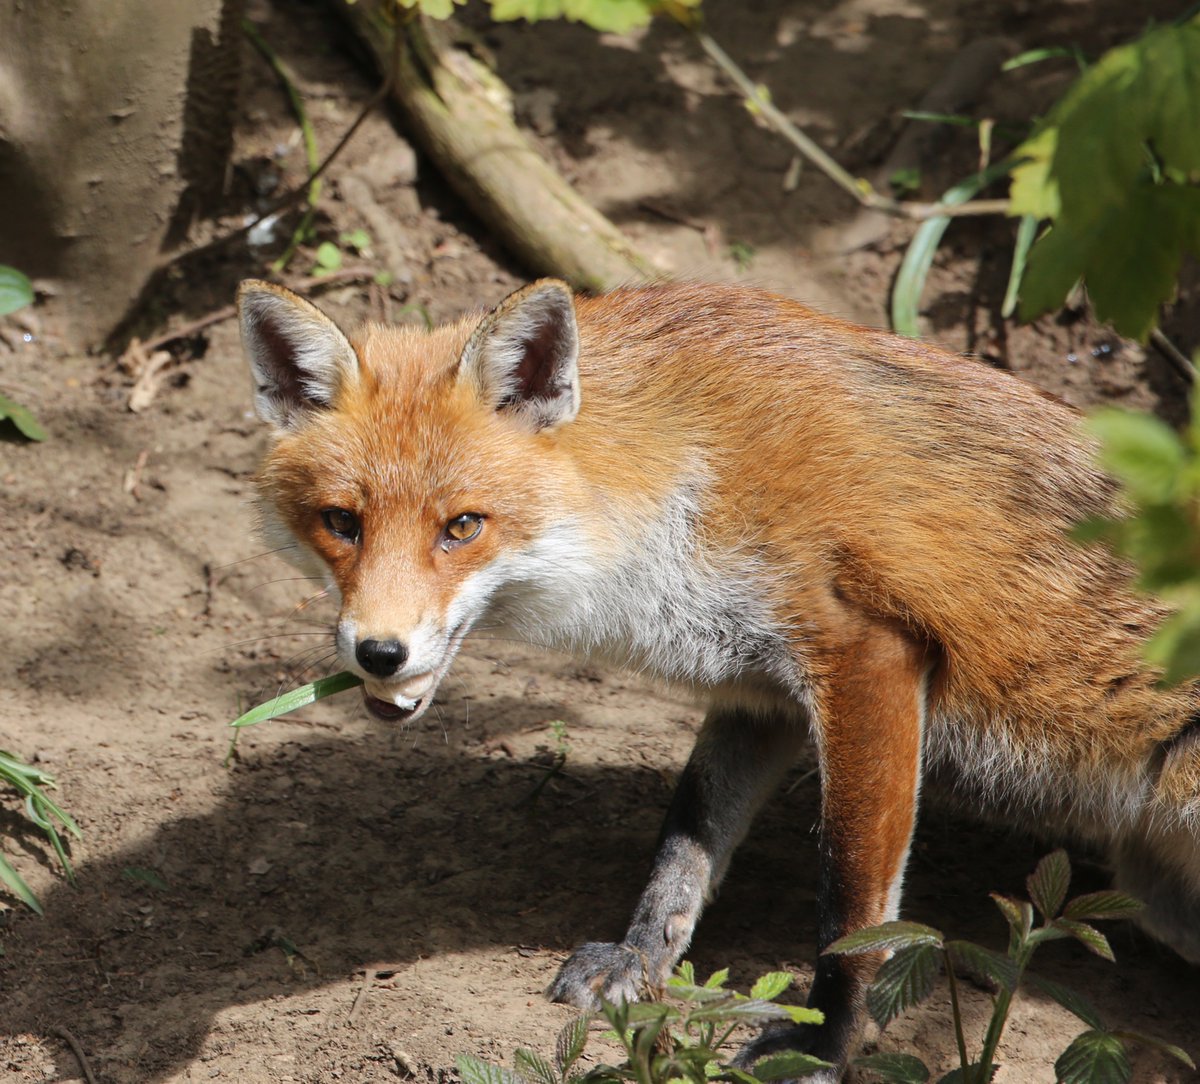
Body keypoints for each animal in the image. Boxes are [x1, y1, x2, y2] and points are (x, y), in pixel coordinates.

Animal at [237, 276, 1200, 1080]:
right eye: (342, 523)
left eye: (462, 526)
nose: (379, 653)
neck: (684, 479)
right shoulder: (758, 692)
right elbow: (686, 844)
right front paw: (639, 962)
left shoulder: (868, 655)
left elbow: (854, 908)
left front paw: (826, 1043)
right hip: (1157, 893)